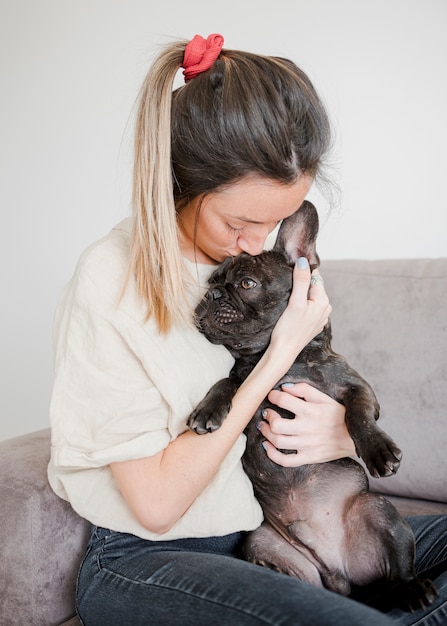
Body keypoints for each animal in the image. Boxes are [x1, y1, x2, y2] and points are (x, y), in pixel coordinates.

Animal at [189, 201, 438, 608]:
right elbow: (227, 383)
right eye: (210, 282)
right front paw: (208, 410)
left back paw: (411, 588)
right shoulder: (244, 379)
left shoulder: (358, 388)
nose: (211, 296)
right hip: (262, 541)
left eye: (246, 283)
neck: (282, 362)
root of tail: (338, 572)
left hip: (378, 509)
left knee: (399, 567)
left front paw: (378, 450)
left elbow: (358, 414)